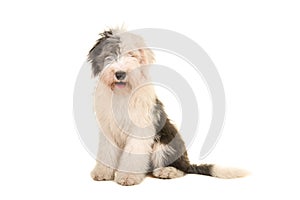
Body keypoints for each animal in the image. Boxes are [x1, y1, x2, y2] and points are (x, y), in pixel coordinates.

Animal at [88, 27, 247, 185]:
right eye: (110, 53)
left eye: (132, 55)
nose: (120, 74)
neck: (122, 94)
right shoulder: (108, 129)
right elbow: (106, 152)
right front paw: (102, 172)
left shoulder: (140, 128)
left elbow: (133, 152)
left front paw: (128, 176)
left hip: (164, 143)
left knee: (182, 169)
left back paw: (167, 171)